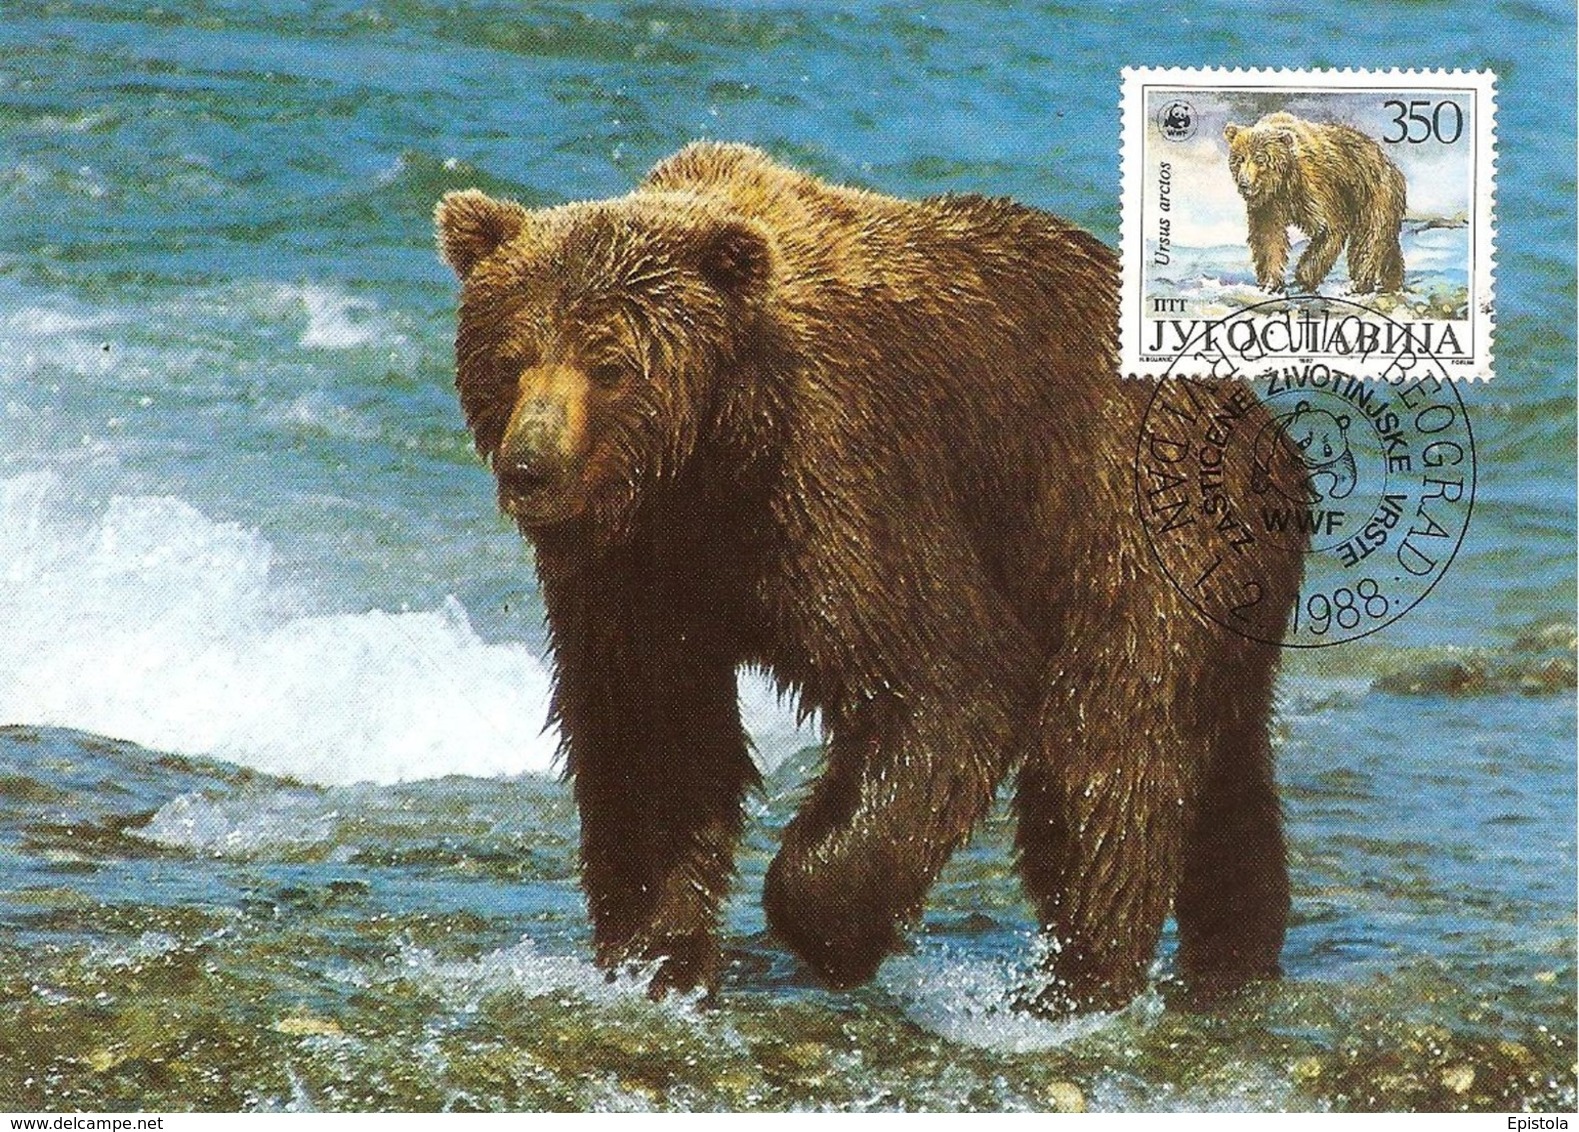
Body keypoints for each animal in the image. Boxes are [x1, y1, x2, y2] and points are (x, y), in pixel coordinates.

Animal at [434, 142, 1307, 1014]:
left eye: (610, 365)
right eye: (510, 361)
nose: (530, 468)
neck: (710, 466)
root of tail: (1254, 421)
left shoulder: (840, 478)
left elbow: (945, 682)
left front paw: (834, 931)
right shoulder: (636, 567)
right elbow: (652, 732)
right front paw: (658, 955)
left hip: (1131, 527)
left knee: (1106, 746)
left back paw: (1078, 980)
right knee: (1224, 773)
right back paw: (1233, 954)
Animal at [1224, 112, 1407, 295]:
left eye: (1260, 159)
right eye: (1239, 158)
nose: (1244, 183)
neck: (1283, 183)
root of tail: (1390, 163)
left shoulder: (1315, 190)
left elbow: (1328, 229)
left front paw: (1303, 277)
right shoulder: (1268, 205)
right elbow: (1268, 238)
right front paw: (1270, 283)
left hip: (1373, 195)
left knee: (1368, 239)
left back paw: (1358, 283)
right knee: (1388, 245)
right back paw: (1392, 281)